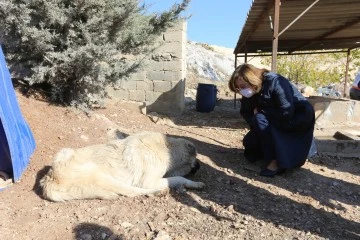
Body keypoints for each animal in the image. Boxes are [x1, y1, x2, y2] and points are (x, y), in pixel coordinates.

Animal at [39, 130, 205, 202]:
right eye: (196, 159)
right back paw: (158, 192)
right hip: (103, 176)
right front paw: (196, 183)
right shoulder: (148, 181)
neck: (166, 148)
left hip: (65, 152)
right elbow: (177, 178)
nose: (200, 166)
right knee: (132, 191)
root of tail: (49, 179)